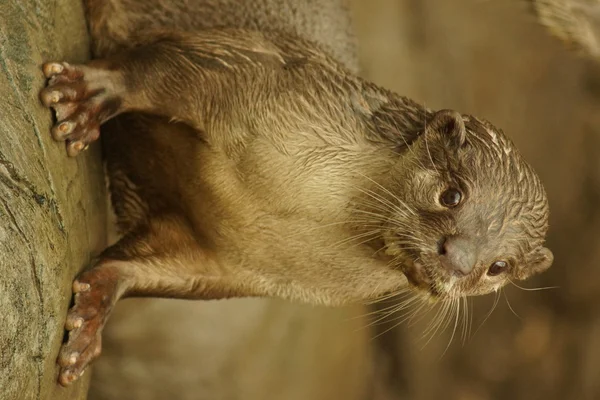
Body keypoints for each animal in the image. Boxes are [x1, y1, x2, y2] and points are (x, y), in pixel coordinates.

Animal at [38, 0, 552, 390]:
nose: (458, 260)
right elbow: (161, 68)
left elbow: (145, 265)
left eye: (498, 267)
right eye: (453, 195)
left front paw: (91, 315)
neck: (303, 211)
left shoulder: (227, 261)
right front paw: (91, 91)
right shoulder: (253, 68)